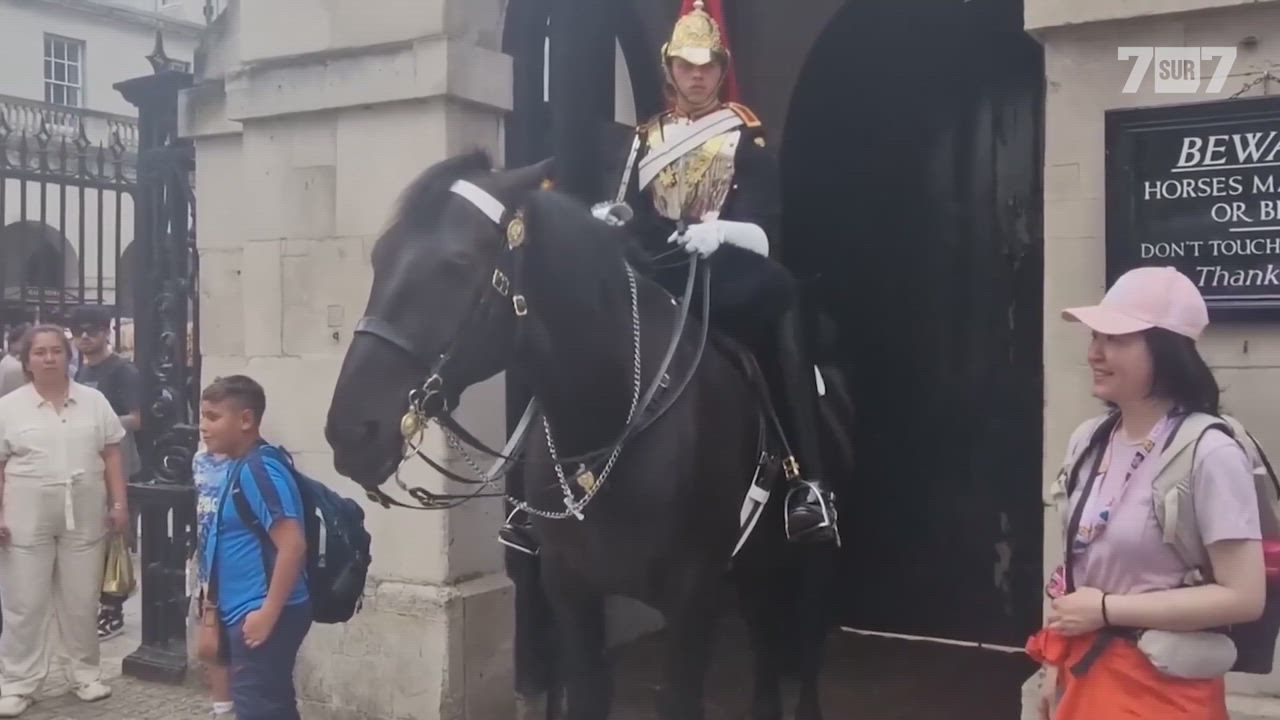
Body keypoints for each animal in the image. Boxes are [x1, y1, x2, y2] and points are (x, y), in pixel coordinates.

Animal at [325, 151, 844, 717]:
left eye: (457, 263)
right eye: (379, 257)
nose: (351, 431)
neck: (612, 420)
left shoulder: (693, 600)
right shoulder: (571, 592)